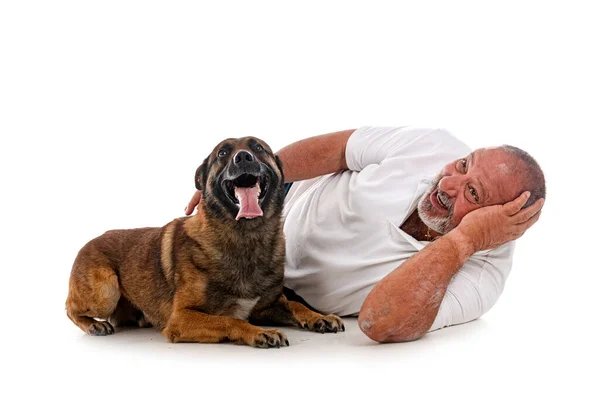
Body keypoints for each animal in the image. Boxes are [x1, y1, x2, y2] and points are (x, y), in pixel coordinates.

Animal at [66, 136, 344, 346]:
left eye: (258, 148)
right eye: (223, 152)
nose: (243, 157)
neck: (245, 237)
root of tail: (90, 241)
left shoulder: (266, 307)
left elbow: (295, 304)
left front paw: (318, 316)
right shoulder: (181, 318)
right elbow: (231, 319)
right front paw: (260, 332)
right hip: (106, 291)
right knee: (70, 307)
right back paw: (94, 326)